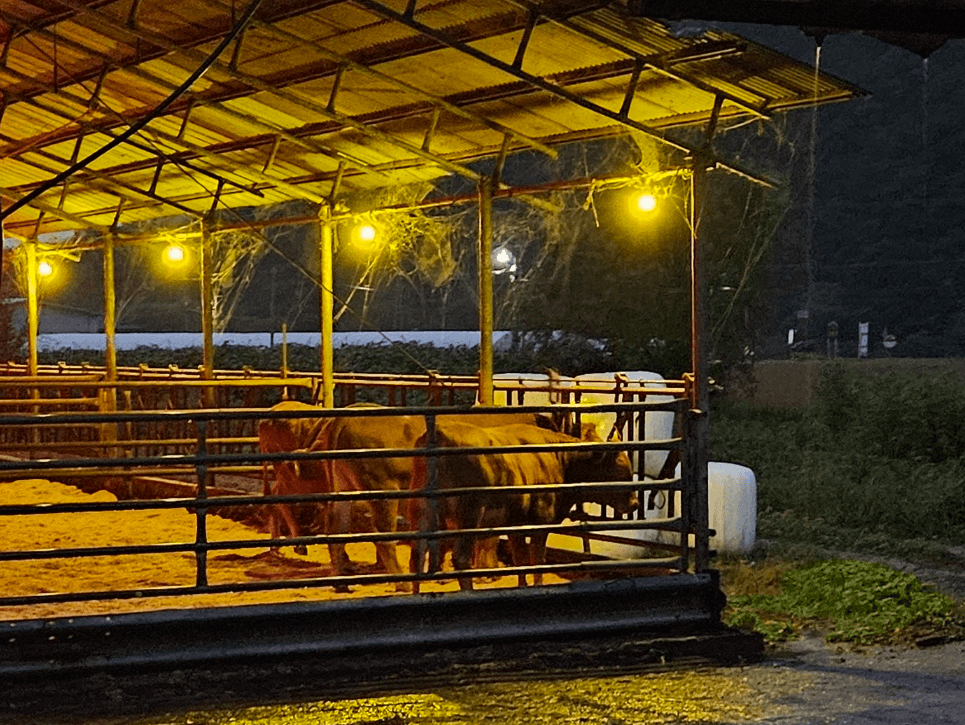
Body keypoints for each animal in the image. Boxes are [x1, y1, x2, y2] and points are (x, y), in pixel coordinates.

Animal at [406, 422, 632, 592]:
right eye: (620, 467)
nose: (635, 503)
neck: (560, 459)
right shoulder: (541, 523)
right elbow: (537, 560)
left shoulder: (516, 526)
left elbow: (520, 560)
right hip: (469, 515)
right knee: (461, 558)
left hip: (421, 514)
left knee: (417, 557)